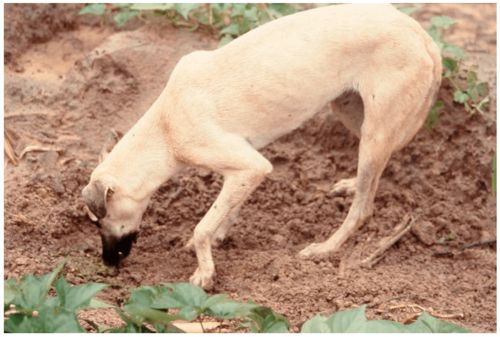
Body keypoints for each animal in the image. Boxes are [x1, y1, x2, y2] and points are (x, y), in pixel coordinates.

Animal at [81, 3, 442, 288]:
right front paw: (220, 236)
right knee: (378, 171)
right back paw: (352, 185)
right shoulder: (244, 171)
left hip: (373, 131)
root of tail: (422, 35)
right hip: (352, 113)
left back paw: (325, 249)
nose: (108, 264)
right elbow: (225, 212)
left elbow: (202, 227)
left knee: (363, 209)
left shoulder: (250, 166)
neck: (166, 127)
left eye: (98, 221)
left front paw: (205, 271)